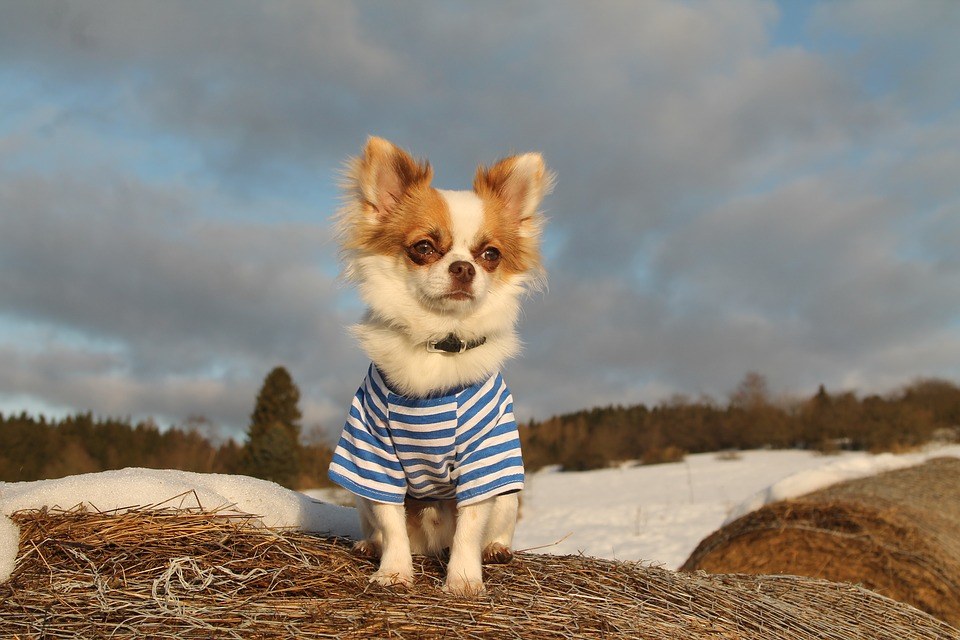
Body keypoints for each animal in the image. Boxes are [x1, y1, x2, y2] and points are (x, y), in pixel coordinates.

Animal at [328, 135, 548, 596]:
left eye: (490, 254)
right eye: (424, 248)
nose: (463, 267)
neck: (439, 343)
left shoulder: (486, 459)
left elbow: (469, 527)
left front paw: (463, 581)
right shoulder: (373, 457)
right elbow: (392, 523)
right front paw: (394, 572)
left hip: (508, 497)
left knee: (495, 529)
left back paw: (496, 551)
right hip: (360, 496)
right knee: (377, 526)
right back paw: (368, 546)